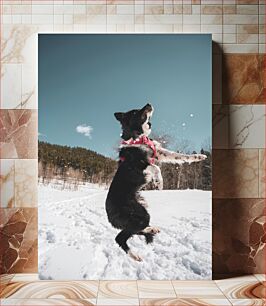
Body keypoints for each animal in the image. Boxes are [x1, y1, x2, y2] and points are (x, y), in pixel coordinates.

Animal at [105, 104, 206, 262]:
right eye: (135, 112)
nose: (149, 104)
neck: (138, 137)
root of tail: (109, 216)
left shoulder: (158, 152)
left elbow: (179, 156)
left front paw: (199, 156)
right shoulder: (137, 165)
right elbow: (155, 167)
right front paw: (159, 183)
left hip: (139, 217)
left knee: (134, 231)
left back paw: (152, 229)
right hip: (139, 215)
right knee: (120, 238)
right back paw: (135, 255)